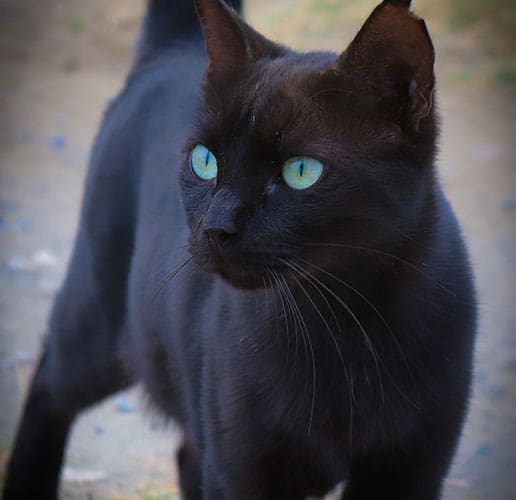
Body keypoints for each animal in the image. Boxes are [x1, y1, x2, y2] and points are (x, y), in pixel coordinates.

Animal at [3, 0, 476, 500]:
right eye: (205, 160)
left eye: (301, 172)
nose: (217, 227)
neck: (343, 331)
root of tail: (176, 46)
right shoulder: (242, 465)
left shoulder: (411, 468)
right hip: (100, 319)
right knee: (49, 382)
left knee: (186, 450)